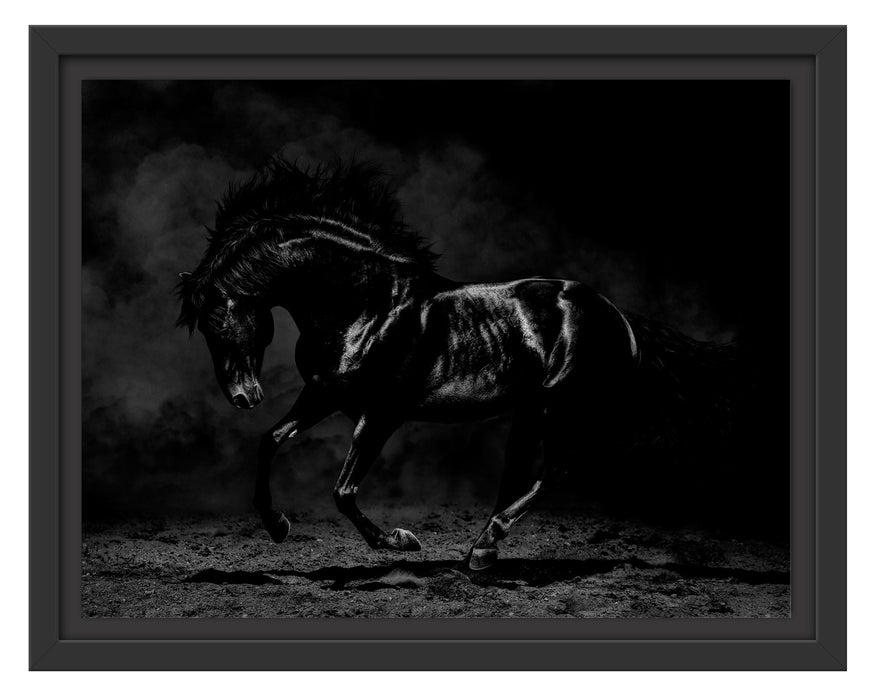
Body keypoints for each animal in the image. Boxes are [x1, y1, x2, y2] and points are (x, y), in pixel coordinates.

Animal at [177, 158, 719, 570]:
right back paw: (481, 550)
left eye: (220, 322)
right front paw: (278, 526)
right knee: (523, 474)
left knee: (561, 468)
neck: (364, 306)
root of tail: (619, 316)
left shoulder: (381, 413)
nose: (243, 397)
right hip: (531, 412)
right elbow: (270, 441)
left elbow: (343, 491)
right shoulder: (325, 394)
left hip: (564, 407)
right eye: (203, 330)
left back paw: (486, 546)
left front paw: (400, 541)